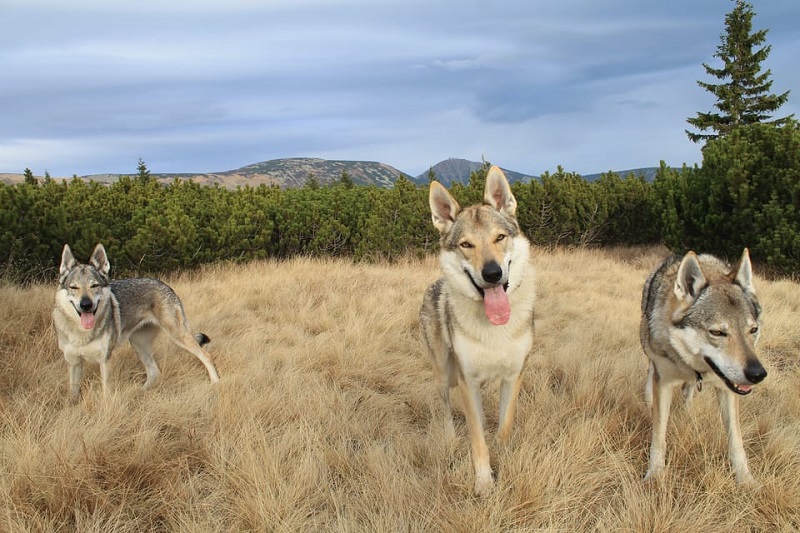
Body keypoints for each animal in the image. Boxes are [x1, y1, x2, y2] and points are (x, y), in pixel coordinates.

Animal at [53, 243, 220, 402]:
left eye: (94, 286)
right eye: (74, 287)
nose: (86, 304)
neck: (82, 334)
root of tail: (165, 284)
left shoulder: (105, 359)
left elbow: (106, 392)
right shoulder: (74, 362)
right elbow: (73, 393)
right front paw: (72, 406)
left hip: (177, 336)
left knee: (206, 356)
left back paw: (216, 383)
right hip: (138, 344)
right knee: (154, 372)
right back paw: (139, 392)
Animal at [418, 166, 536, 494]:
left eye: (500, 237)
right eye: (466, 245)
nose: (493, 273)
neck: (494, 329)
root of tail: (435, 284)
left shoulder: (514, 375)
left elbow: (504, 425)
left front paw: (503, 457)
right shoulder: (467, 381)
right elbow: (477, 440)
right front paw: (484, 482)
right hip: (445, 373)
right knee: (445, 406)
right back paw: (449, 435)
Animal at [636, 247, 768, 484]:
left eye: (753, 330)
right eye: (717, 332)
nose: (757, 374)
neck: (692, 366)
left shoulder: (727, 388)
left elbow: (736, 440)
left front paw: (745, 480)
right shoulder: (665, 383)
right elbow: (659, 437)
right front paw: (655, 476)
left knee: (689, 391)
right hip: (648, 347)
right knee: (651, 372)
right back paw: (649, 400)